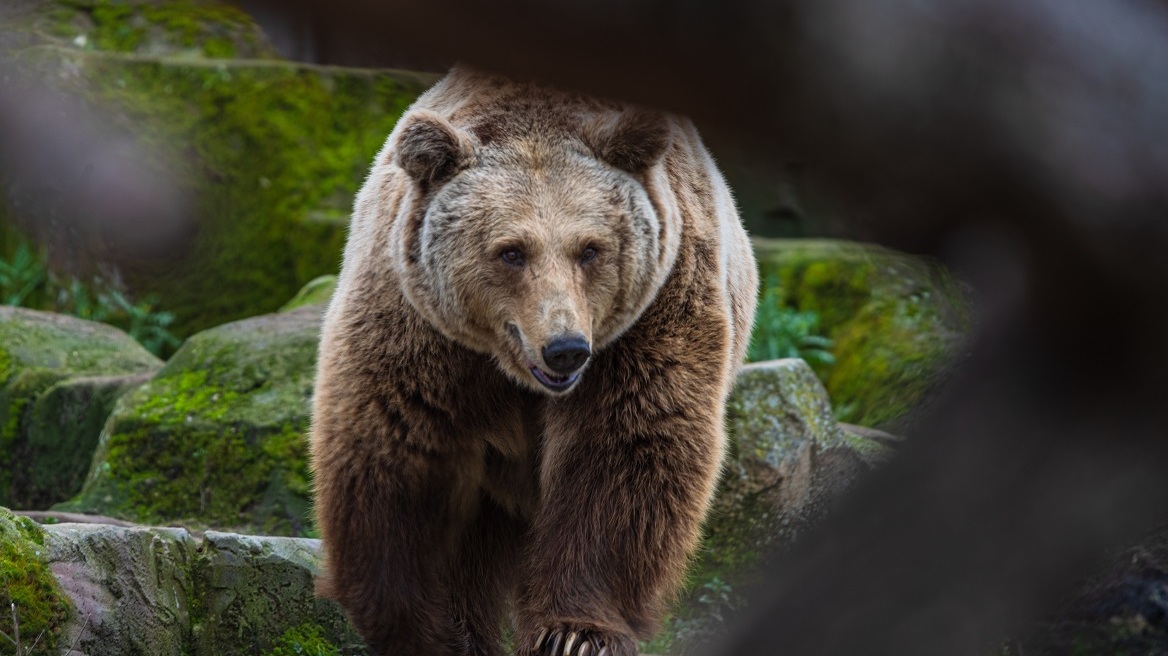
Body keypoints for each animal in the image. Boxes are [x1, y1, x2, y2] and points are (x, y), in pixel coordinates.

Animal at [313, 65, 756, 653]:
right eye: (510, 251)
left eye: (590, 249)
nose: (565, 348)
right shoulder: (420, 326)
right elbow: (398, 447)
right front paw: (421, 627)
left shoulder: (652, 313)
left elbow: (623, 450)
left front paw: (576, 632)